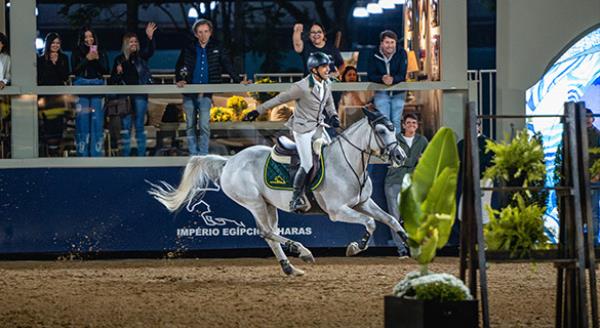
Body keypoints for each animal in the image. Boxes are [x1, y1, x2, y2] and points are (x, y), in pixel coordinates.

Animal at [150, 109, 410, 276]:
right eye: (381, 131)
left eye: (393, 128)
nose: (401, 157)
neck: (347, 163)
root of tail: (230, 161)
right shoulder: (339, 211)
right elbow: (370, 223)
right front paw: (356, 247)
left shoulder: (362, 203)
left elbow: (390, 219)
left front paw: (408, 241)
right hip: (254, 203)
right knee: (267, 232)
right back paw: (302, 251)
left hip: (269, 205)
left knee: (271, 234)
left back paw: (290, 267)